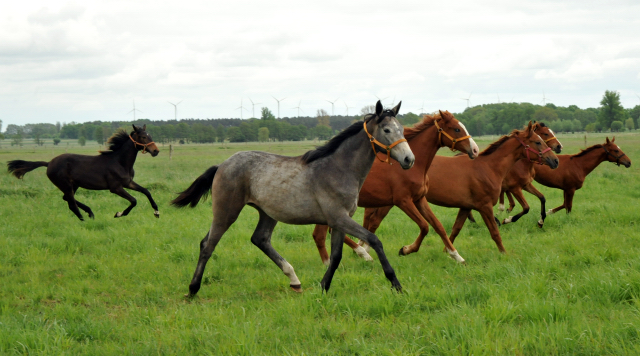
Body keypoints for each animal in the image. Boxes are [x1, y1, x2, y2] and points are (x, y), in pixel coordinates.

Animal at [7, 124, 160, 220]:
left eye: (150, 135)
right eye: (143, 137)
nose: (156, 151)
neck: (120, 162)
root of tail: (49, 163)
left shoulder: (128, 182)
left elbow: (146, 191)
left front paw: (157, 212)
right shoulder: (115, 188)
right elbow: (134, 200)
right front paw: (119, 214)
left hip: (73, 185)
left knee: (67, 199)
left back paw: (89, 213)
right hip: (66, 184)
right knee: (71, 203)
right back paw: (84, 219)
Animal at [169, 101, 416, 294]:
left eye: (401, 129)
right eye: (386, 130)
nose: (409, 159)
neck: (338, 168)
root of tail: (222, 165)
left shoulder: (338, 221)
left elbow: (336, 256)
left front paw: (323, 287)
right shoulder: (339, 218)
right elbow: (374, 240)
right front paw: (396, 284)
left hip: (267, 213)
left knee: (260, 239)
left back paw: (294, 279)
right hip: (226, 211)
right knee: (208, 245)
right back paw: (193, 289)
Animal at [308, 110, 478, 266]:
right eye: (457, 129)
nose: (475, 150)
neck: (413, 167)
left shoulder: (419, 199)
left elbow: (438, 226)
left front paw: (456, 256)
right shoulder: (402, 201)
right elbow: (424, 226)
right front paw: (406, 250)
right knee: (321, 234)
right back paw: (351, 256)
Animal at [362, 122, 556, 256]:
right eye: (538, 141)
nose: (555, 160)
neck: (488, 167)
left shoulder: (466, 207)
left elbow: (454, 230)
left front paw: (448, 251)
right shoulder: (485, 206)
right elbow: (495, 232)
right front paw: (504, 253)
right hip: (393, 202)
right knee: (374, 221)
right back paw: (364, 249)